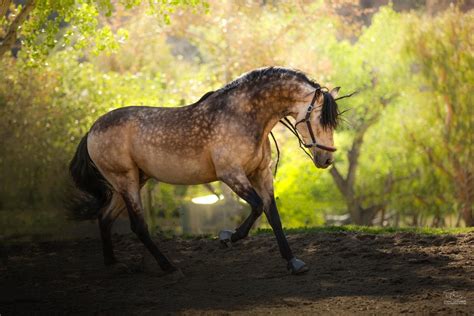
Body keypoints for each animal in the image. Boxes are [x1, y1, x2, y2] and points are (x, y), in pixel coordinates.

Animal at [69, 66, 340, 274]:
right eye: (319, 118)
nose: (326, 159)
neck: (243, 116)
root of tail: (92, 129)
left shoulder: (261, 174)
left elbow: (272, 215)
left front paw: (293, 262)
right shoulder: (231, 175)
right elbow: (257, 207)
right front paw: (227, 237)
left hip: (130, 182)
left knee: (105, 218)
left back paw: (113, 264)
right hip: (126, 181)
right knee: (138, 226)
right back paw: (168, 267)